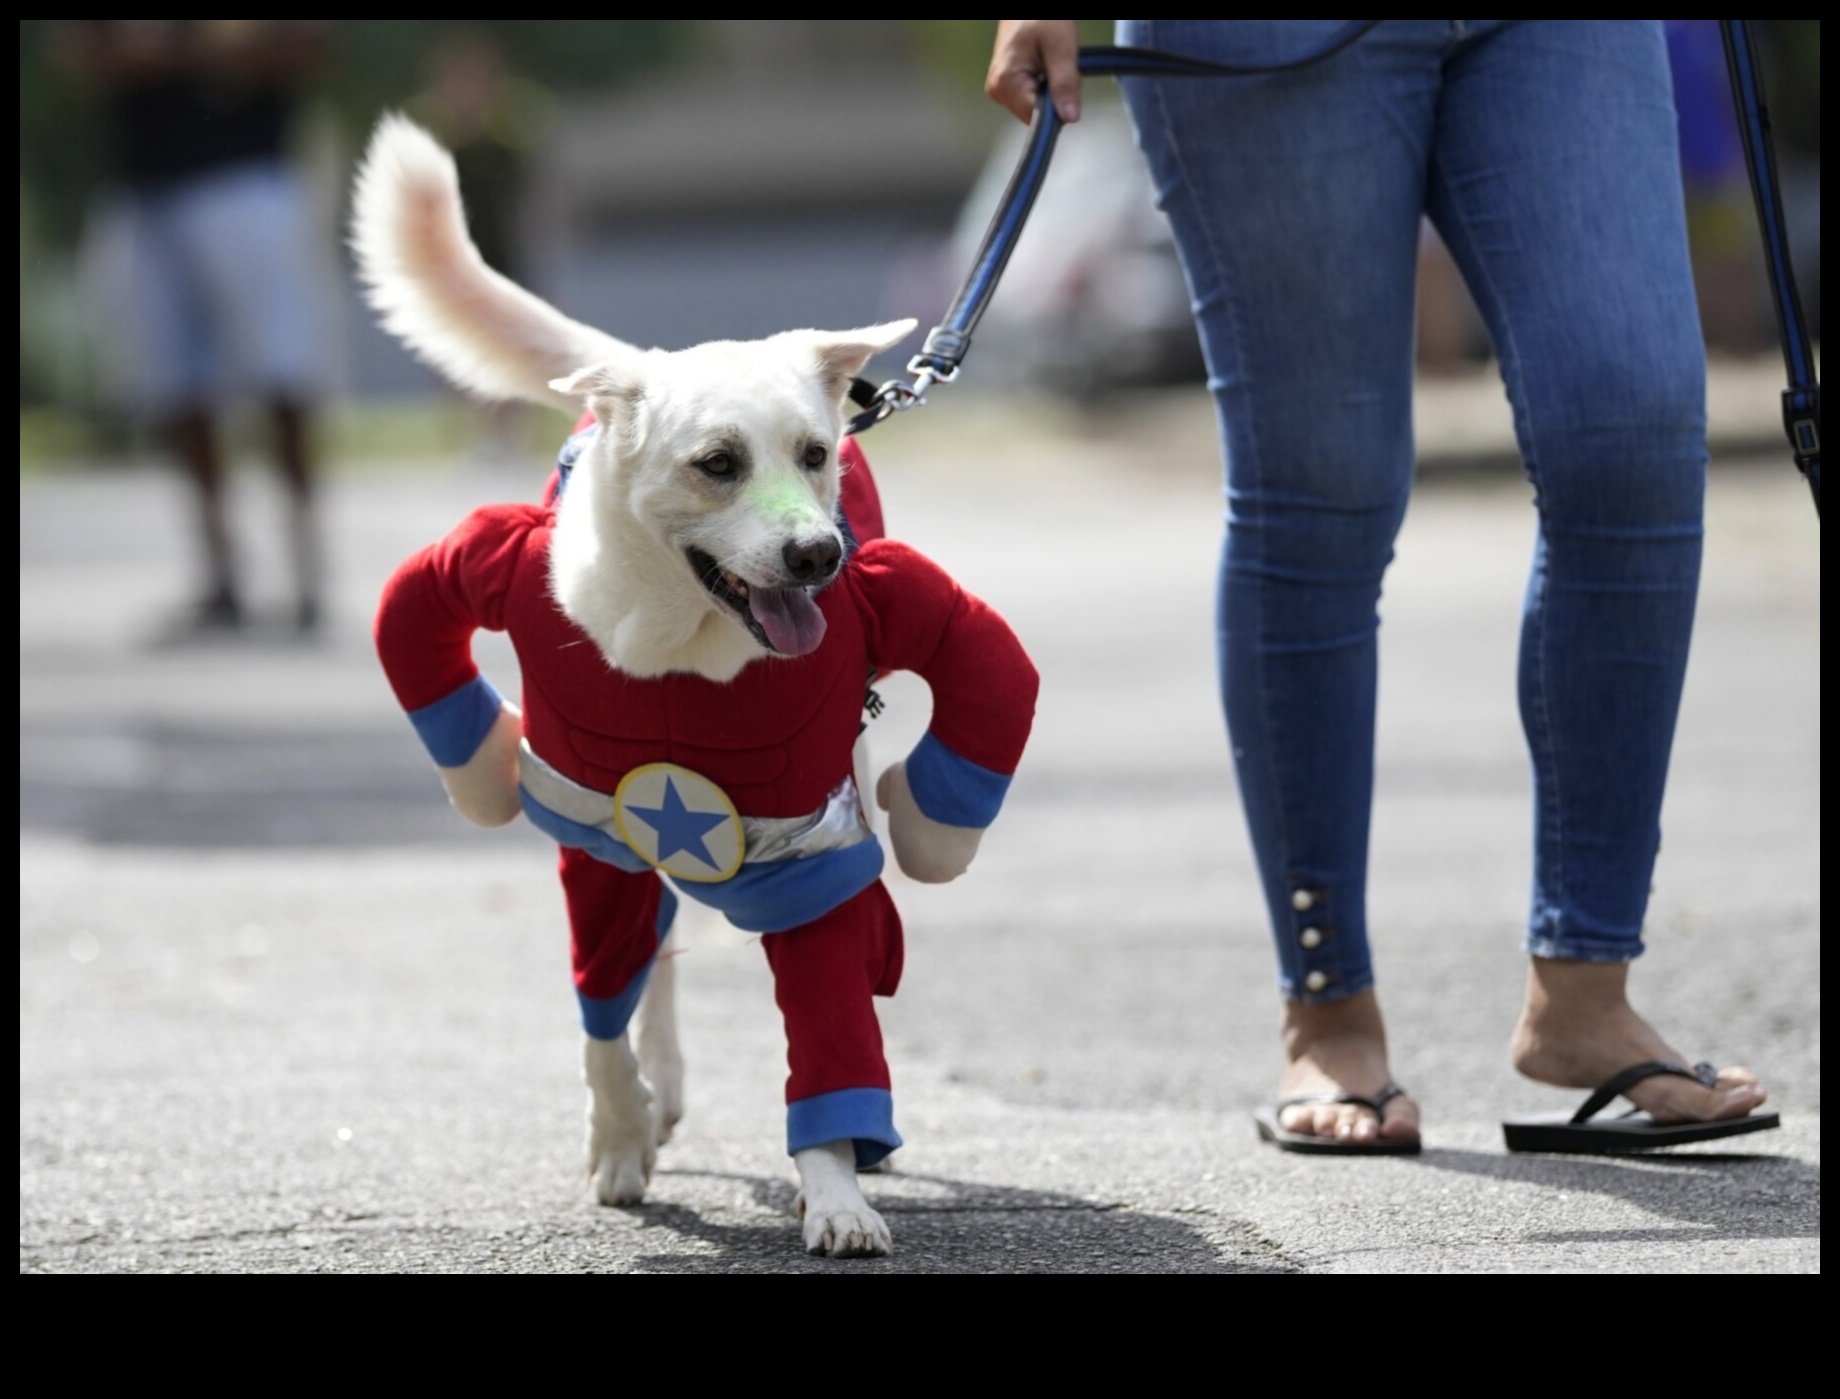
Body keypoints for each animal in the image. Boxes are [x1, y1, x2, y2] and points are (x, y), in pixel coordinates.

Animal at [347, 120, 1037, 1259]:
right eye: (717, 463)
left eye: (814, 454)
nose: (817, 557)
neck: (685, 645)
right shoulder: (594, 834)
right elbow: (602, 1007)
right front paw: (620, 1134)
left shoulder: (812, 848)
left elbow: (831, 1026)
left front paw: (835, 1190)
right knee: (657, 966)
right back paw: (654, 1100)